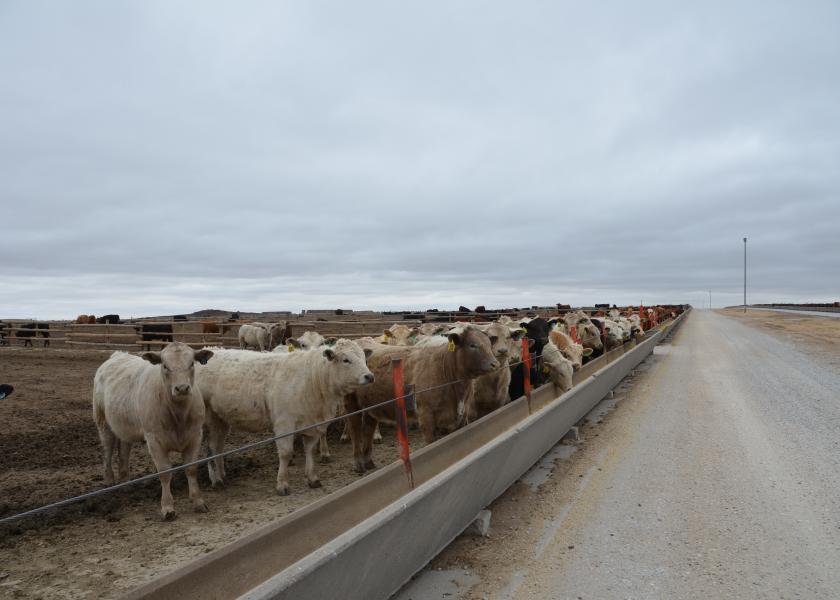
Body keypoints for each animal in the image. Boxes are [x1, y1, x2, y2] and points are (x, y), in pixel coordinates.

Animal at [92, 342, 215, 520]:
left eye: (192, 363)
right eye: (165, 365)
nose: (182, 388)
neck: (179, 415)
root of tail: (118, 355)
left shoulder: (195, 435)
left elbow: (191, 469)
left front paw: (198, 501)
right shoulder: (154, 440)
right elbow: (164, 472)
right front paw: (167, 507)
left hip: (125, 428)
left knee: (124, 451)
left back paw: (125, 481)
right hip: (103, 423)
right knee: (107, 451)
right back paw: (109, 481)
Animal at [198, 340, 374, 494]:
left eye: (364, 358)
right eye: (346, 360)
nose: (369, 376)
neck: (313, 379)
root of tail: (211, 349)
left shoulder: (312, 425)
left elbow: (309, 450)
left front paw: (312, 478)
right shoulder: (284, 423)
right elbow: (286, 453)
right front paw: (282, 484)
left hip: (221, 418)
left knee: (218, 446)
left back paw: (222, 475)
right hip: (209, 419)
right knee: (211, 448)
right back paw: (216, 480)